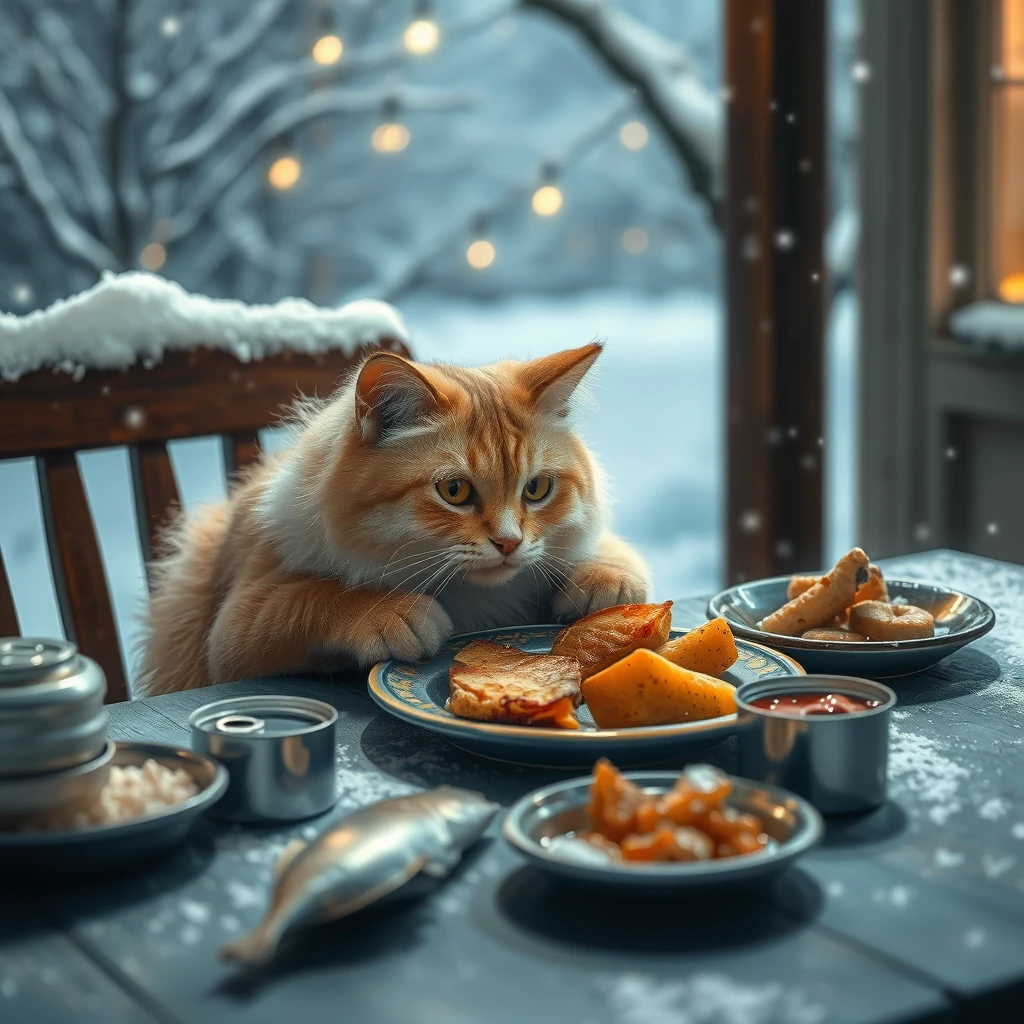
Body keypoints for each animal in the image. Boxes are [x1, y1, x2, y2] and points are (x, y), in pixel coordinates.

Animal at [134, 344, 647, 696]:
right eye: (454, 491)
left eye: (536, 489)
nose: (509, 543)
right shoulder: (236, 627)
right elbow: (315, 596)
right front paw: (393, 612)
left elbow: (616, 552)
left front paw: (606, 584)